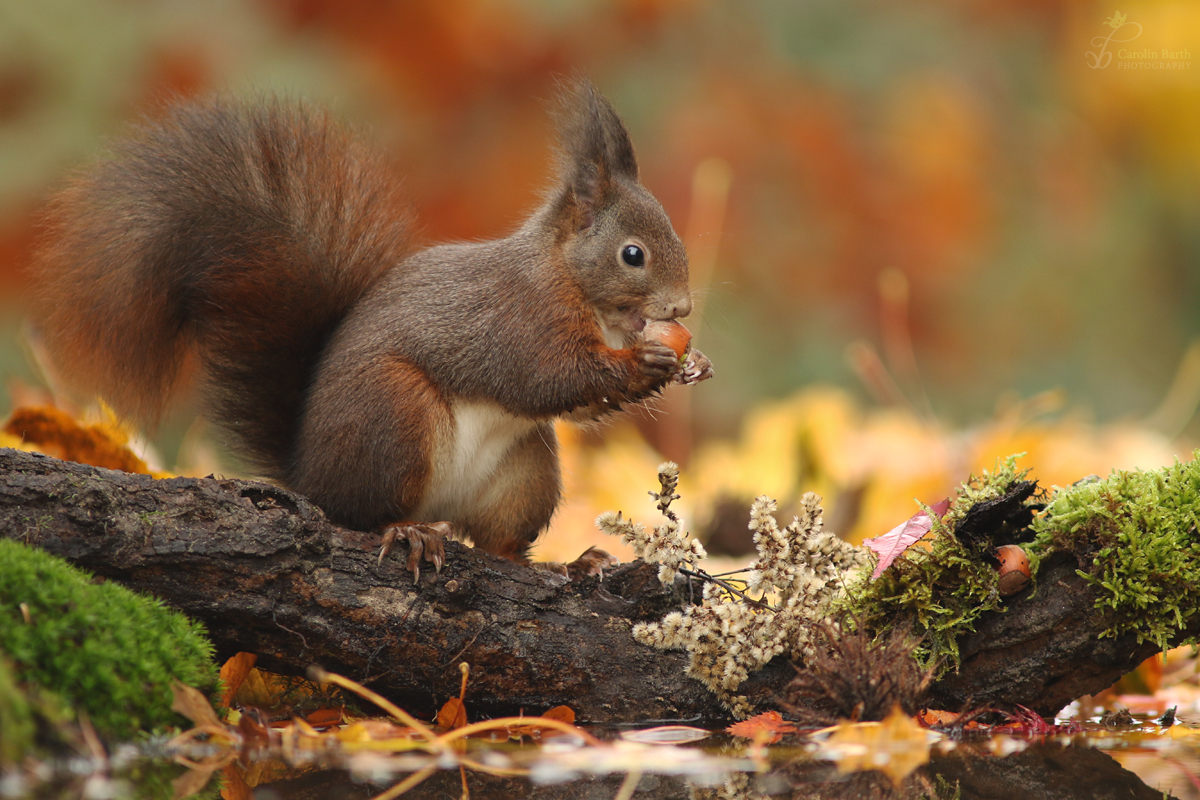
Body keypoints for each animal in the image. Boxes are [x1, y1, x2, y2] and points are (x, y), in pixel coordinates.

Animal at [30, 81, 710, 578]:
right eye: (632, 255)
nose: (680, 310)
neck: (577, 287)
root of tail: (309, 473)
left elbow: (579, 404)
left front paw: (687, 366)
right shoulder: (519, 319)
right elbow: (545, 377)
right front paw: (643, 365)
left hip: (526, 472)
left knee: (499, 545)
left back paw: (568, 566)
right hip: (395, 417)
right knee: (360, 515)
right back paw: (407, 533)